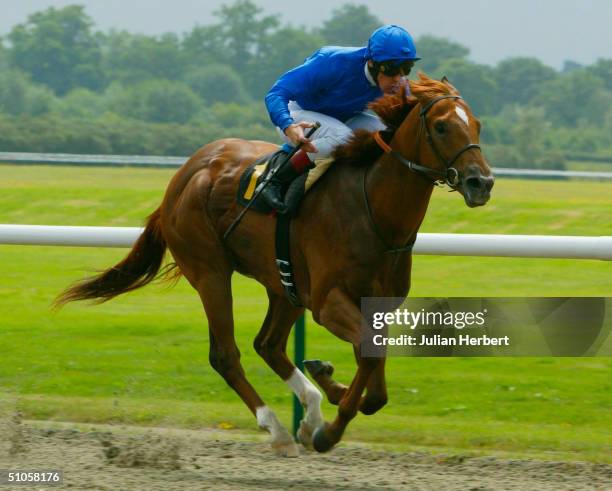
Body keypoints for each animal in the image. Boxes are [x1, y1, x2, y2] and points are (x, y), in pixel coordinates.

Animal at [57, 73, 494, 458]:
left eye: (476, 124)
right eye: (441, 127)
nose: (482, 183)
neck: (374, 209)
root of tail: (185, 174)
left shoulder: (376, 304)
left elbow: (374, 371)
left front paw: (329, 391)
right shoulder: (328, 302)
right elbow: (369, 357)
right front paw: (328, 432)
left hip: (285, 283)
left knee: (267, 344)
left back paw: (311, 407)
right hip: (210, 271)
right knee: (226, 354)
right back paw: (281, 430)